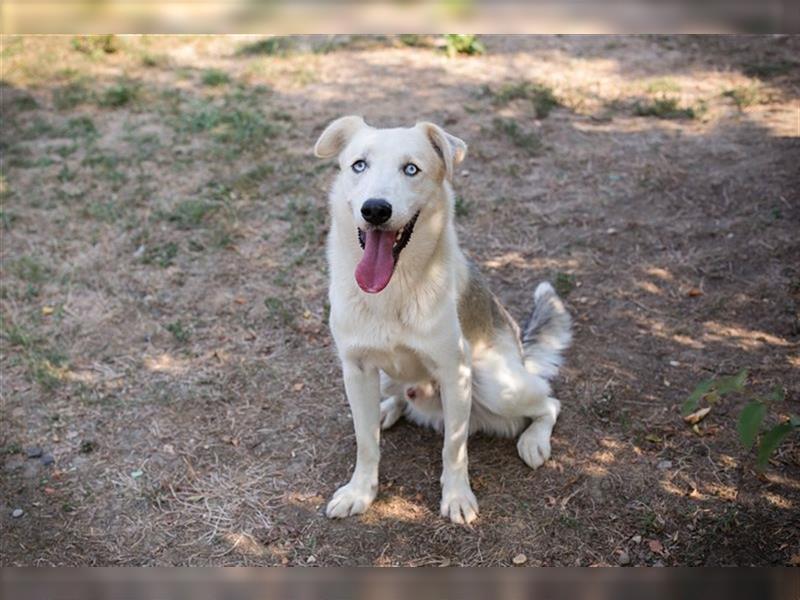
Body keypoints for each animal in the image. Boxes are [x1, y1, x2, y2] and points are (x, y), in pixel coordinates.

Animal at [316, 115, 572, 524]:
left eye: (411, 169)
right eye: (359, 165)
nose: (375, 210)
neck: (393, 289)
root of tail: (522, 354)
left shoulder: (456, 372)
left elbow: (454, 448)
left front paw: (457, 498)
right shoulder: (356, 369)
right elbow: (365, 442)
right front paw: (360, 492)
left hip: (496, 386)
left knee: (549, 402)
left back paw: (534, 441)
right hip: (386, 378)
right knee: (391, 402)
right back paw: (387, 410)